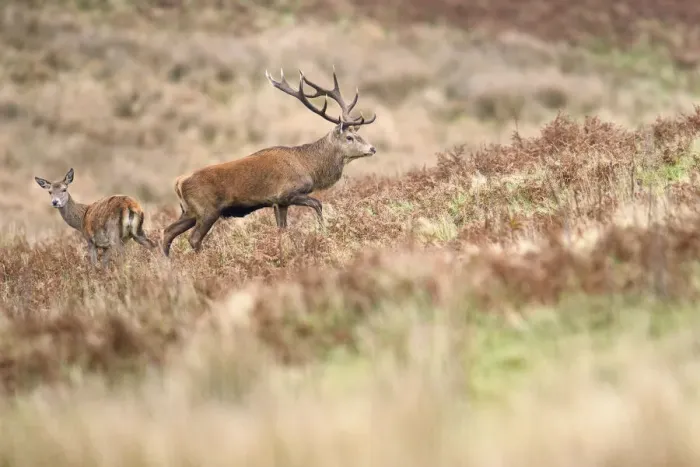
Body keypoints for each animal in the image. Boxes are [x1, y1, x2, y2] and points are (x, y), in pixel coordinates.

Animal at [161, 67, 378, 257]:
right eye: (349, 137)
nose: (372, 149)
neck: (310, 167)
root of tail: (179, 182)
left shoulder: (278, 202)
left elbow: (282, 229)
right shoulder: (288, 193)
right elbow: (317, 204)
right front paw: (323, 232)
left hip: (189, 211)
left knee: (167, 232)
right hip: (207, 210)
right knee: (193, 238)